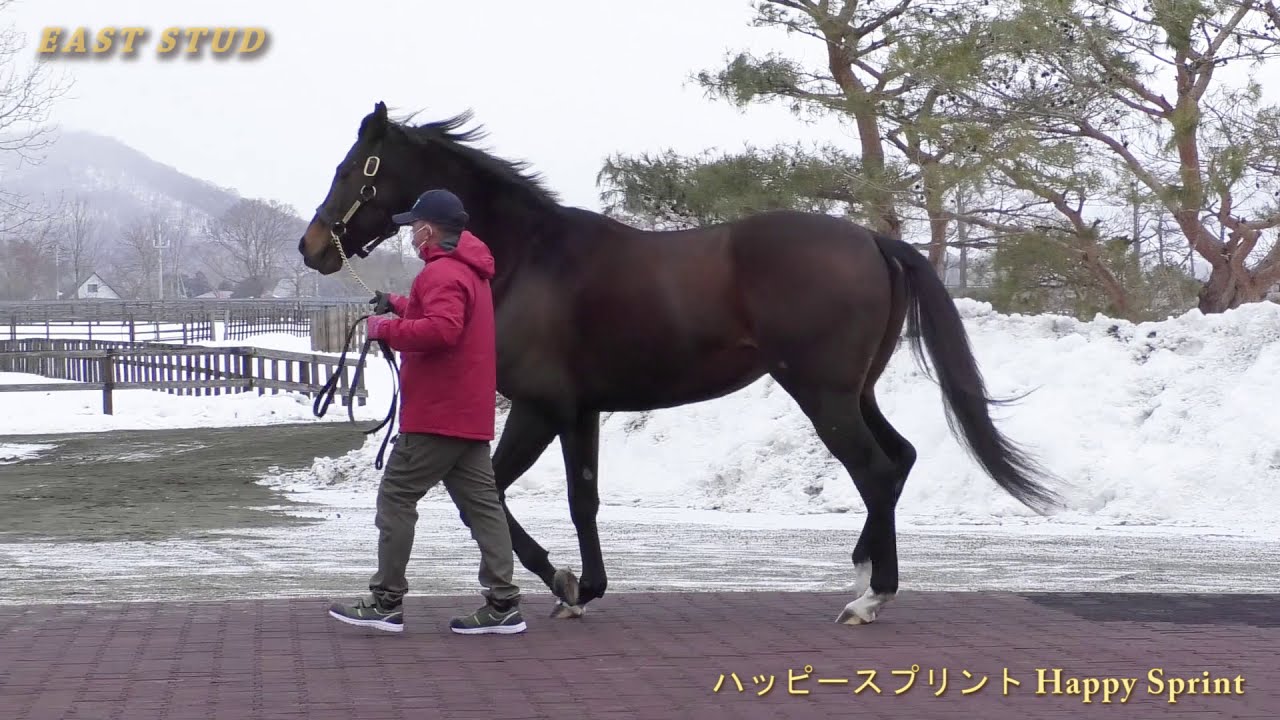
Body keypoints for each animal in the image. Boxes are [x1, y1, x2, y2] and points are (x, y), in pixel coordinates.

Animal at [297, 101, 1061, 625]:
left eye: (351, 170)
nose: (312, 247)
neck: (526, 258)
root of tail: (873, 241)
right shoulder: (581, 412)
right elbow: (581, 498)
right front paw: (587, 586)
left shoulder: (540, 408)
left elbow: (494, 498)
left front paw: (562, 583)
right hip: (855, 392)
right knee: (898, 461)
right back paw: (865, 579)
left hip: (824, 395)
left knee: (875, 470)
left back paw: (868, 599)